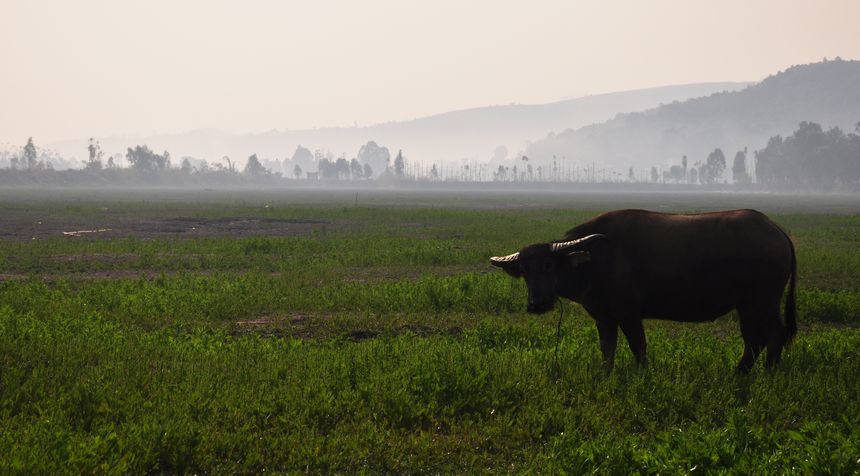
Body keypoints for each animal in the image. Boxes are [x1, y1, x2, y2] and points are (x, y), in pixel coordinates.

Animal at [494, 208, 796, 372]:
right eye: (524, 271)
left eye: (547, 265)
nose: (535, 304)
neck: (597, 259)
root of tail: (777, 230)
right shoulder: (604, 318)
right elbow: (607, 348)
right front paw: (606, 373)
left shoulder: (629, 313)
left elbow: (638, 347)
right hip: (757, 305)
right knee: (765, 338)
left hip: (758, 303)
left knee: (764, 338)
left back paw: (753, 372)